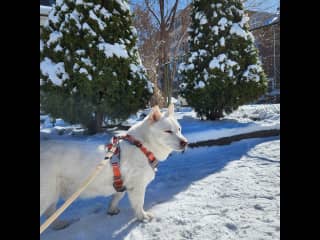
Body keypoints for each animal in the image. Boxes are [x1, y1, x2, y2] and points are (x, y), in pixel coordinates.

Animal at [40, 103, 188, 229]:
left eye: (179, 129)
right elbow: (139, 203)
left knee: (50, 213)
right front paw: (142, 217)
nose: (185, 142)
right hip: (46, 194)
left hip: (53, 194)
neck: (142, 146)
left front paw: (111, 209)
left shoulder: (122, 184)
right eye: (168, 131)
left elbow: (116, 197)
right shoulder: (137, 186)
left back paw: (59, 224)